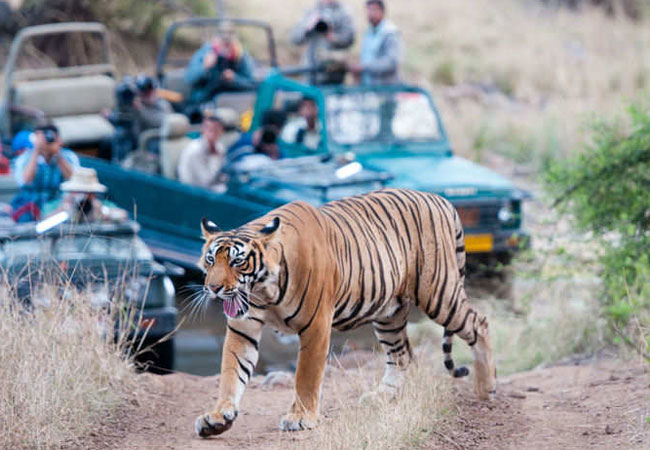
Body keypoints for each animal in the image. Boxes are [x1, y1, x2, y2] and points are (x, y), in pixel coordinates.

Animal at [192, 188, 492, 438]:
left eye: (237, 261)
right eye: (211, 259)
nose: (214, 288)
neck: (264, 290)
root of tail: (440, 199)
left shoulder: (316, 326)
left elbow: (306, 376)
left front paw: (300, 418)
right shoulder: (242, 328)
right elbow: (231, 372)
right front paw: (218, 417)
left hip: (439, 294)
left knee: (480, 323)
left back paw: (486, 389)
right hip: (389, 312)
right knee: (400, 354)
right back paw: (381, 397)